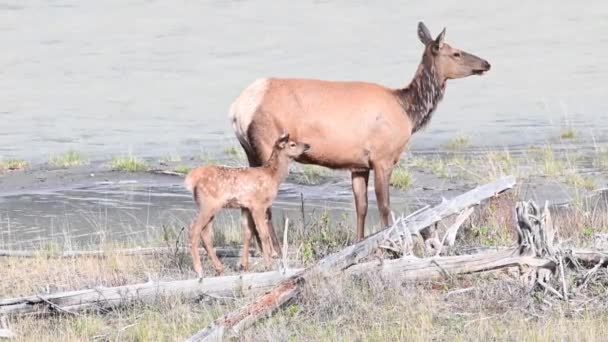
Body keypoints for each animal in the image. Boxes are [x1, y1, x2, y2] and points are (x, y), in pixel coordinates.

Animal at [184, 132, 308, 276]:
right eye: (292, 144)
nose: (307, 145)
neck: (273, 177)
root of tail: (191, 179)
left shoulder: (246, 207)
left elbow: (248, 233)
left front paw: (244, 265)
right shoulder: (258, 204)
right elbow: (263, 233)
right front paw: (268, 265)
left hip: (210, 207)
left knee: (205, 234)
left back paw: (219, 268)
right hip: (208, 204)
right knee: (193, 230)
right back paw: (199, 269)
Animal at [230, 21, 492, 250]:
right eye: (456, 53)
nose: (486, 63)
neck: (408, 112)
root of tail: (237, 110)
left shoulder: (358, 164)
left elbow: (362, 206)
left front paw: (359, 243)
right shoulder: (383, 158)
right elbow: (384, 205)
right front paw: (389, 244)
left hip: (250, 151)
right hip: (268, 144)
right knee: (264, 203)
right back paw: (275, 250)